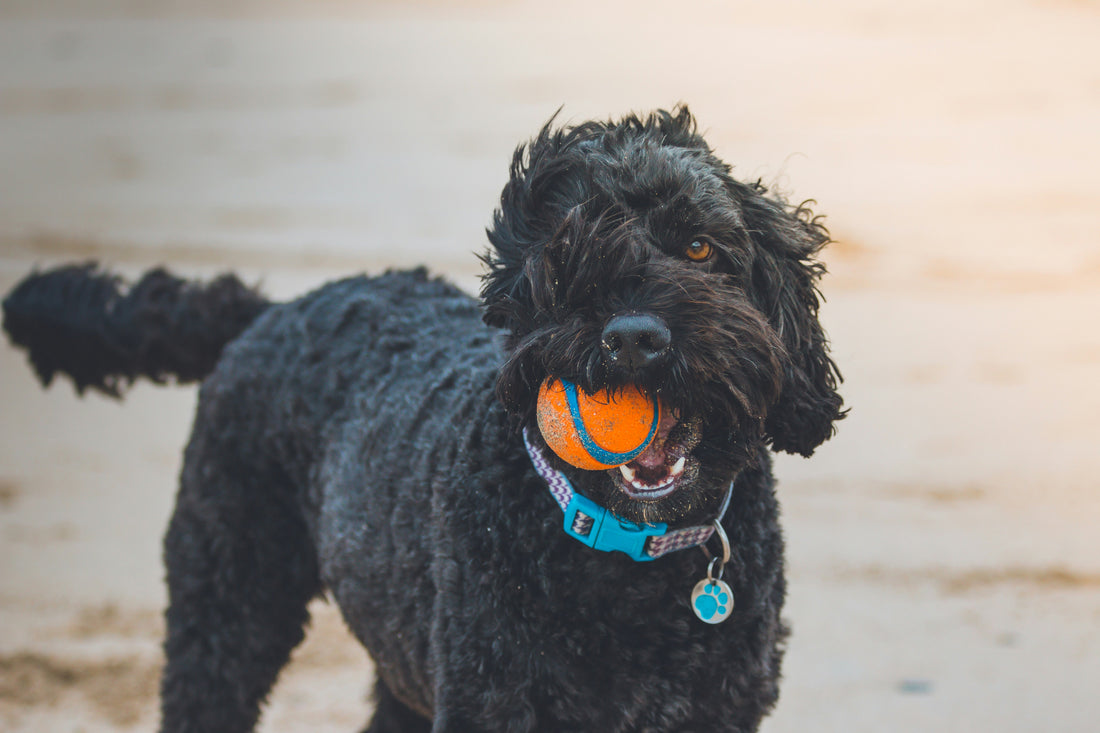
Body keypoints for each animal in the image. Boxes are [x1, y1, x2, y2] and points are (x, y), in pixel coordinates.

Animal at [2, 108, 840, 730]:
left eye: (699, 246)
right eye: (565, 255)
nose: (634, 336)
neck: (625, 557)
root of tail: (273, 308)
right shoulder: (491, 699)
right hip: (228, 598)